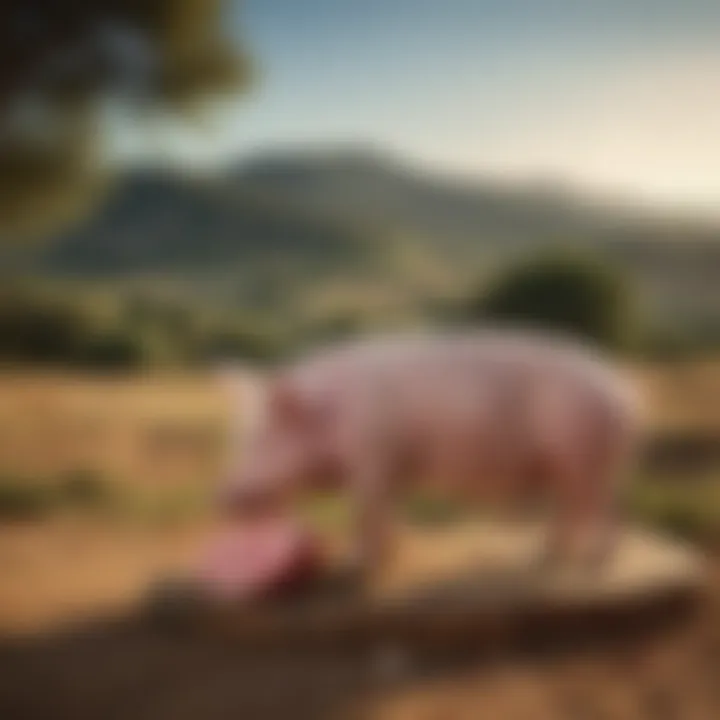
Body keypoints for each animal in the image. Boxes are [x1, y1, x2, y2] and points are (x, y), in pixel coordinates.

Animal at [218, 330, 640, 576]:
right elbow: (388, 509)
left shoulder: (373, 455)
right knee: (572, 505)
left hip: (585, 453)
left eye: (264, 439)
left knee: (604, 506)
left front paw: (355, 565)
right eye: (239, 439)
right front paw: (394, 552)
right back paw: (547, 554)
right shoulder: (393, 466)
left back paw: (597, 561)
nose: (225, 497)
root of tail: (624, 393)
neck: (330, 415)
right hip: (567, 464)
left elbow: (364, 510)